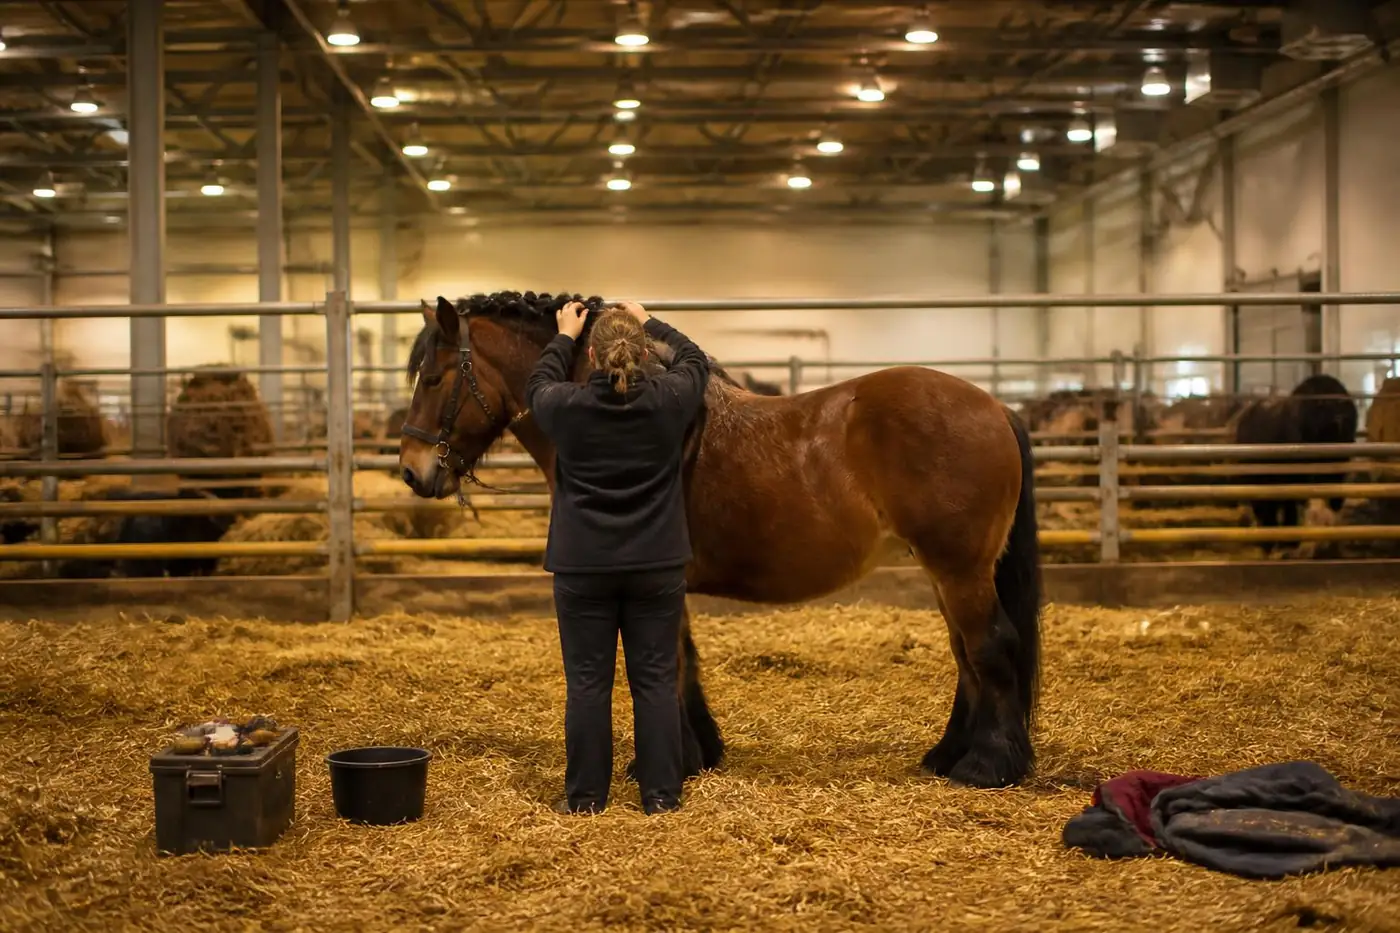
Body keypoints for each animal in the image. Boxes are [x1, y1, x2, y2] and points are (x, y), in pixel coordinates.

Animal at [398, 291, 1043, 789]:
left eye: (432, 378)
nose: (411, 471)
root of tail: (995, 407)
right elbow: (681, 660)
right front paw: (700, 752)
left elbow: (666, 662)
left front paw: (671, 761)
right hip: (946, 571)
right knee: (965, 653)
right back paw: (946, 755)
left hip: (959, 570)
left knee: (990, 647)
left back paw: (986, 766)